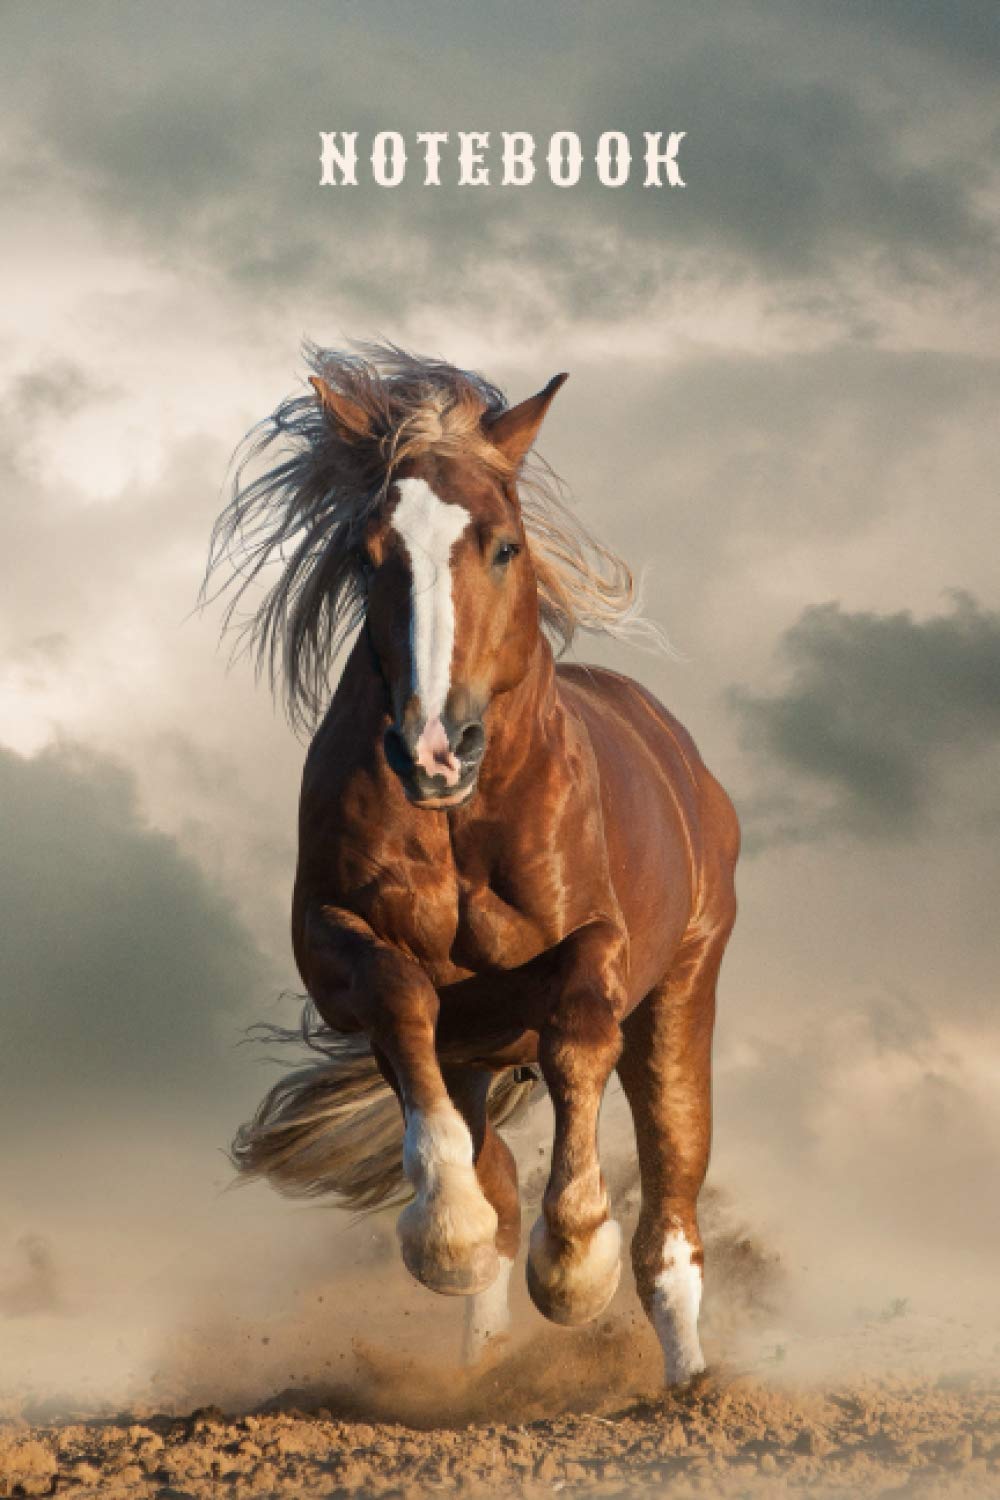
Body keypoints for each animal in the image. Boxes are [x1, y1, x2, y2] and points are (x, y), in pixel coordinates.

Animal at [207, 343, 739, 1384]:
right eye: (370, 556)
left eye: (503, 546)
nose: (433, 750)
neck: (463, 822)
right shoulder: (338, 947)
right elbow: (401, 1001)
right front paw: (444, 1234)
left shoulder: (599, 945)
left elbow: (579, 1032)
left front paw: (572, 1265)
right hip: (477, 1056)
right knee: (490, 1169)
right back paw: (483, 1361)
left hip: (683, 993)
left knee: (672, 1199)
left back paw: (688, 1381)